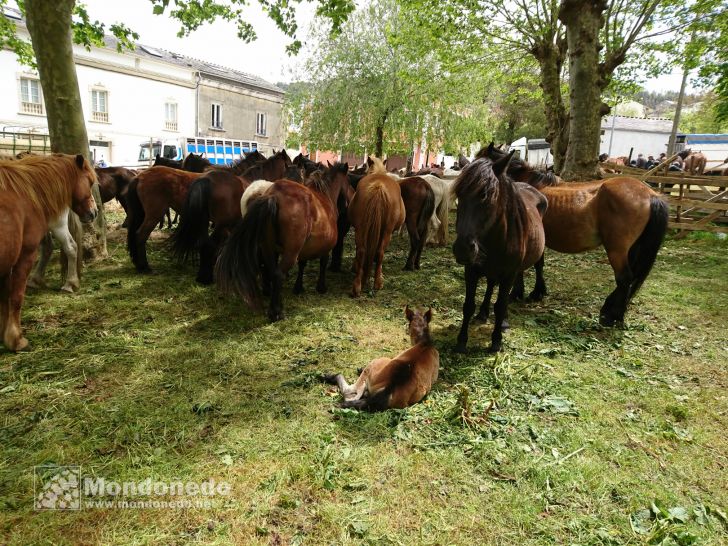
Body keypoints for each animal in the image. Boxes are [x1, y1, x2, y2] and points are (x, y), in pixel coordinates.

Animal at [452, 152, 548, 352]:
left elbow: (501, 305)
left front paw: (496, 340)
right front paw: (461, 341)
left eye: (486, 195)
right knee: (491, 284)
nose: (463, 249)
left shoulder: (508, 274)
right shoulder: (471, 270)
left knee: (537, 267)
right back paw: (483, 313)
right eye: (459, 194)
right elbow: (468, 305)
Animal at [484, 142, 664, 326]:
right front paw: (538, 292)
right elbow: (539, 265)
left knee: (624, 278)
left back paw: (611, 316)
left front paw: (517, 293)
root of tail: (651, 195)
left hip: (617, 250)